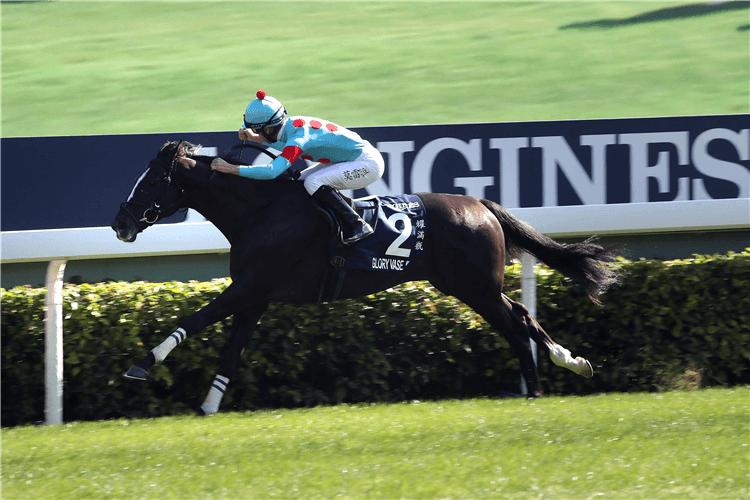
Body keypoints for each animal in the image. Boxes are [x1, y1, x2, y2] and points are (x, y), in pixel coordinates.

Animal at [110, 141, 616, 414]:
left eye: (151, 181)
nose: (120, 223)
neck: (261, 210)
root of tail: (480, 204)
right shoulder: (256, 296)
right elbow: (230, 353)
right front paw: (208, 407)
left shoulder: (250, 286)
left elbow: (195, 319)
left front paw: (141, 364)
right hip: (468, 285)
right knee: (520, 319)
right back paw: (560, 369)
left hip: (475, 287)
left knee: (515, 322)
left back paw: (543, 382)